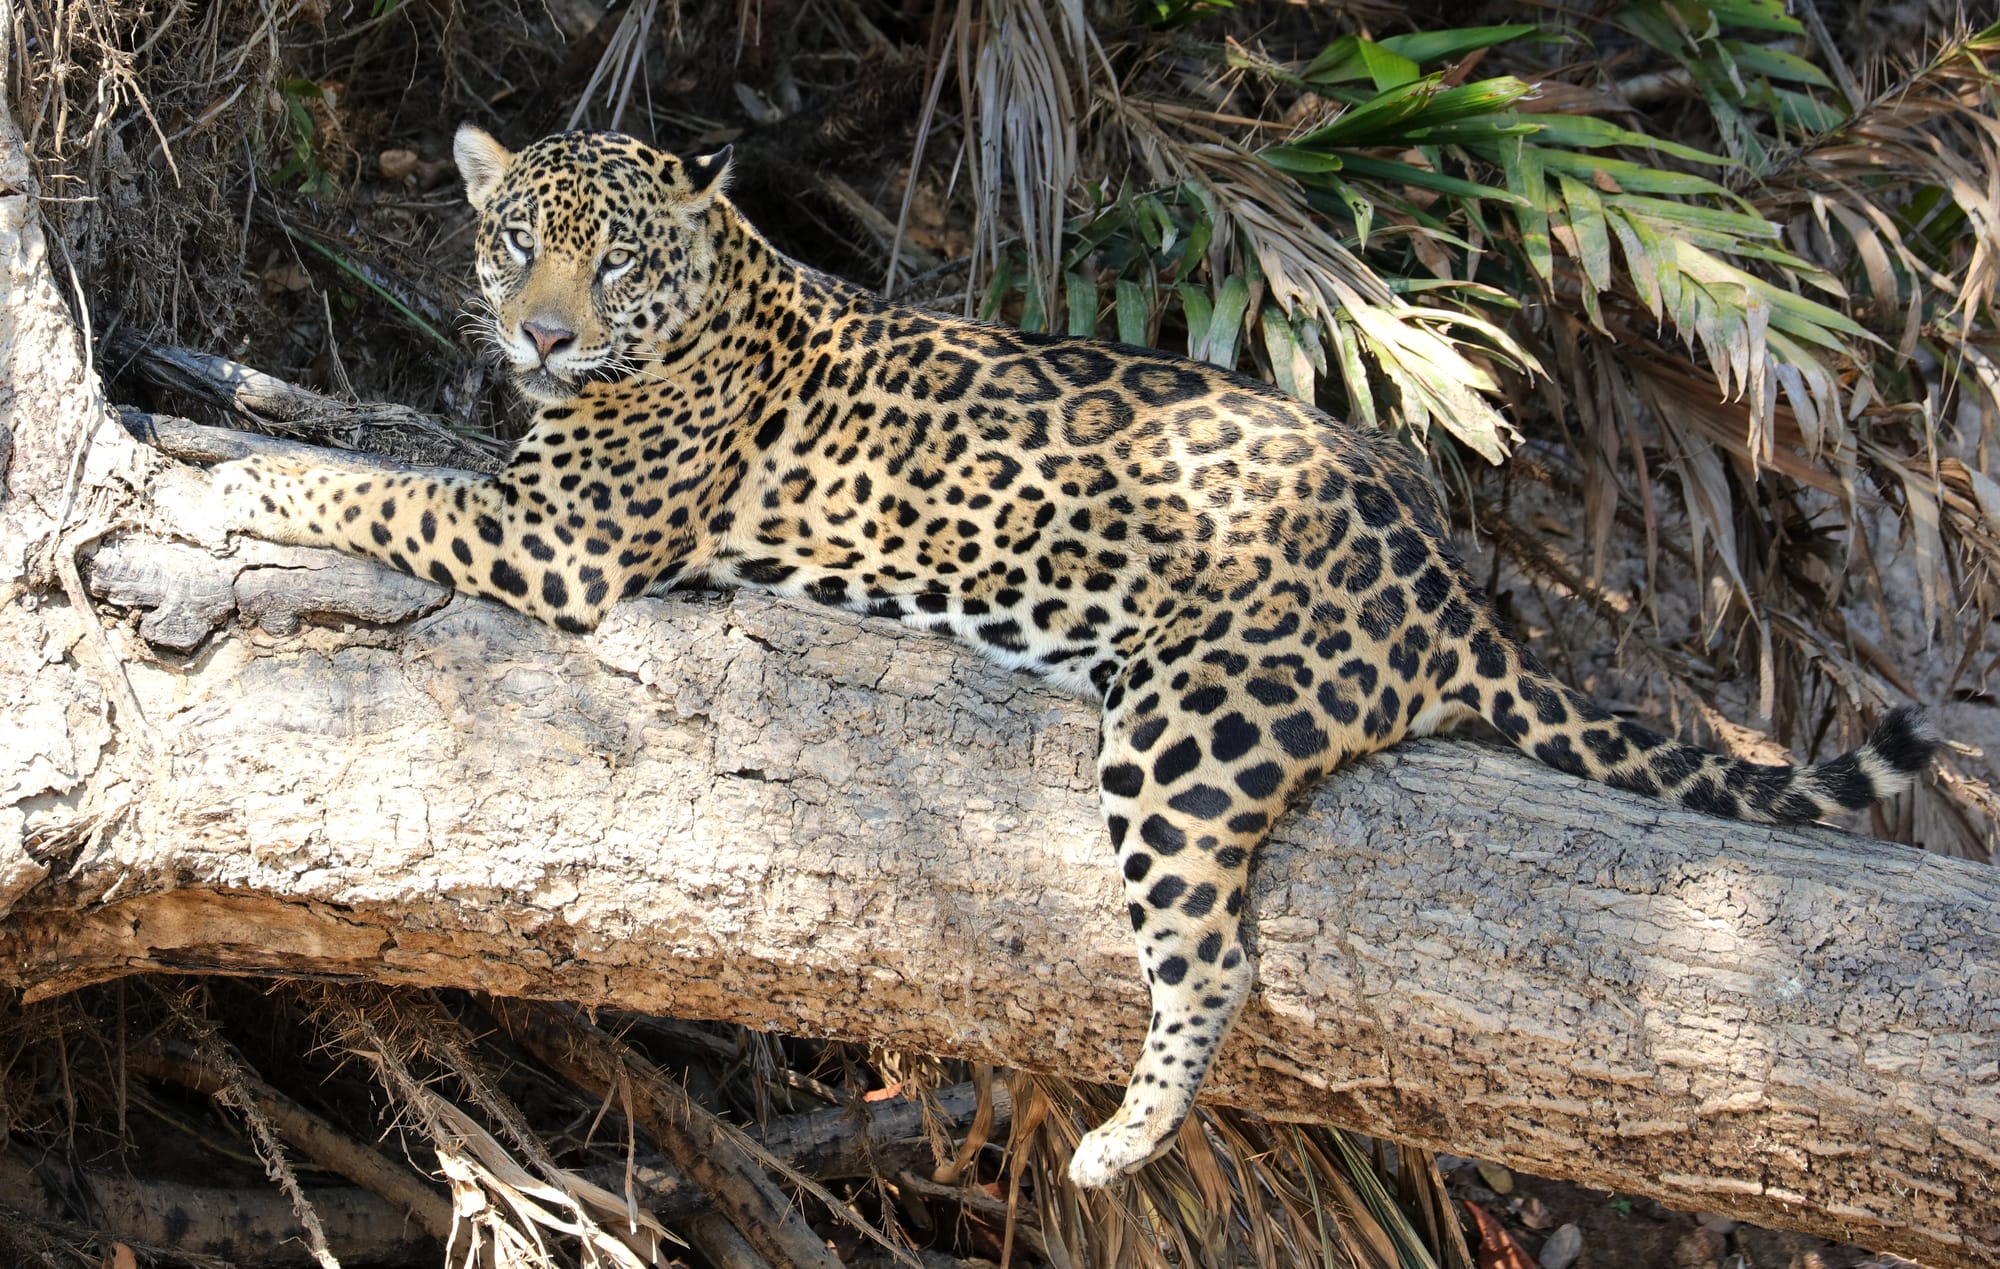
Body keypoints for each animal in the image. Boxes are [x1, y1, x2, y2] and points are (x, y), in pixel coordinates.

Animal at [187, 125, 1938, 1188]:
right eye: (510, 242)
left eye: (609, 263)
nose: (540, 335)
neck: (715, 291)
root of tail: (1446, 581)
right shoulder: (532, 493)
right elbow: (401, 453)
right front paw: (253, 420)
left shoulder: (562, 541)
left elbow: (384, 490)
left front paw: (239, 477)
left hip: (1190, 730)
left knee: (1214, 955)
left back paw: (1120, 1141)